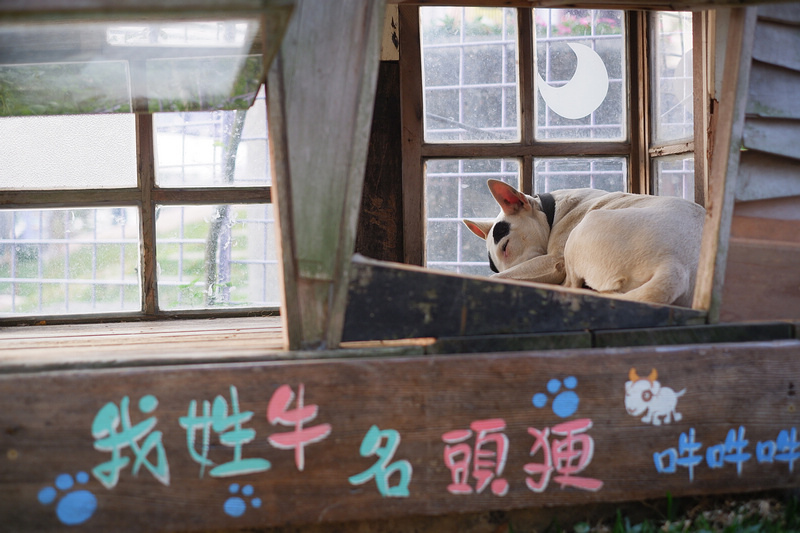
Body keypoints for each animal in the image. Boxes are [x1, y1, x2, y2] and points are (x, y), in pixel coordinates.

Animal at [466, 180, 704, 306]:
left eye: (506, 247)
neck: (551, 210)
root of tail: (674, 266)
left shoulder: (554, 261)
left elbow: (498, 278)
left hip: (581, 232)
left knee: (570, 285)